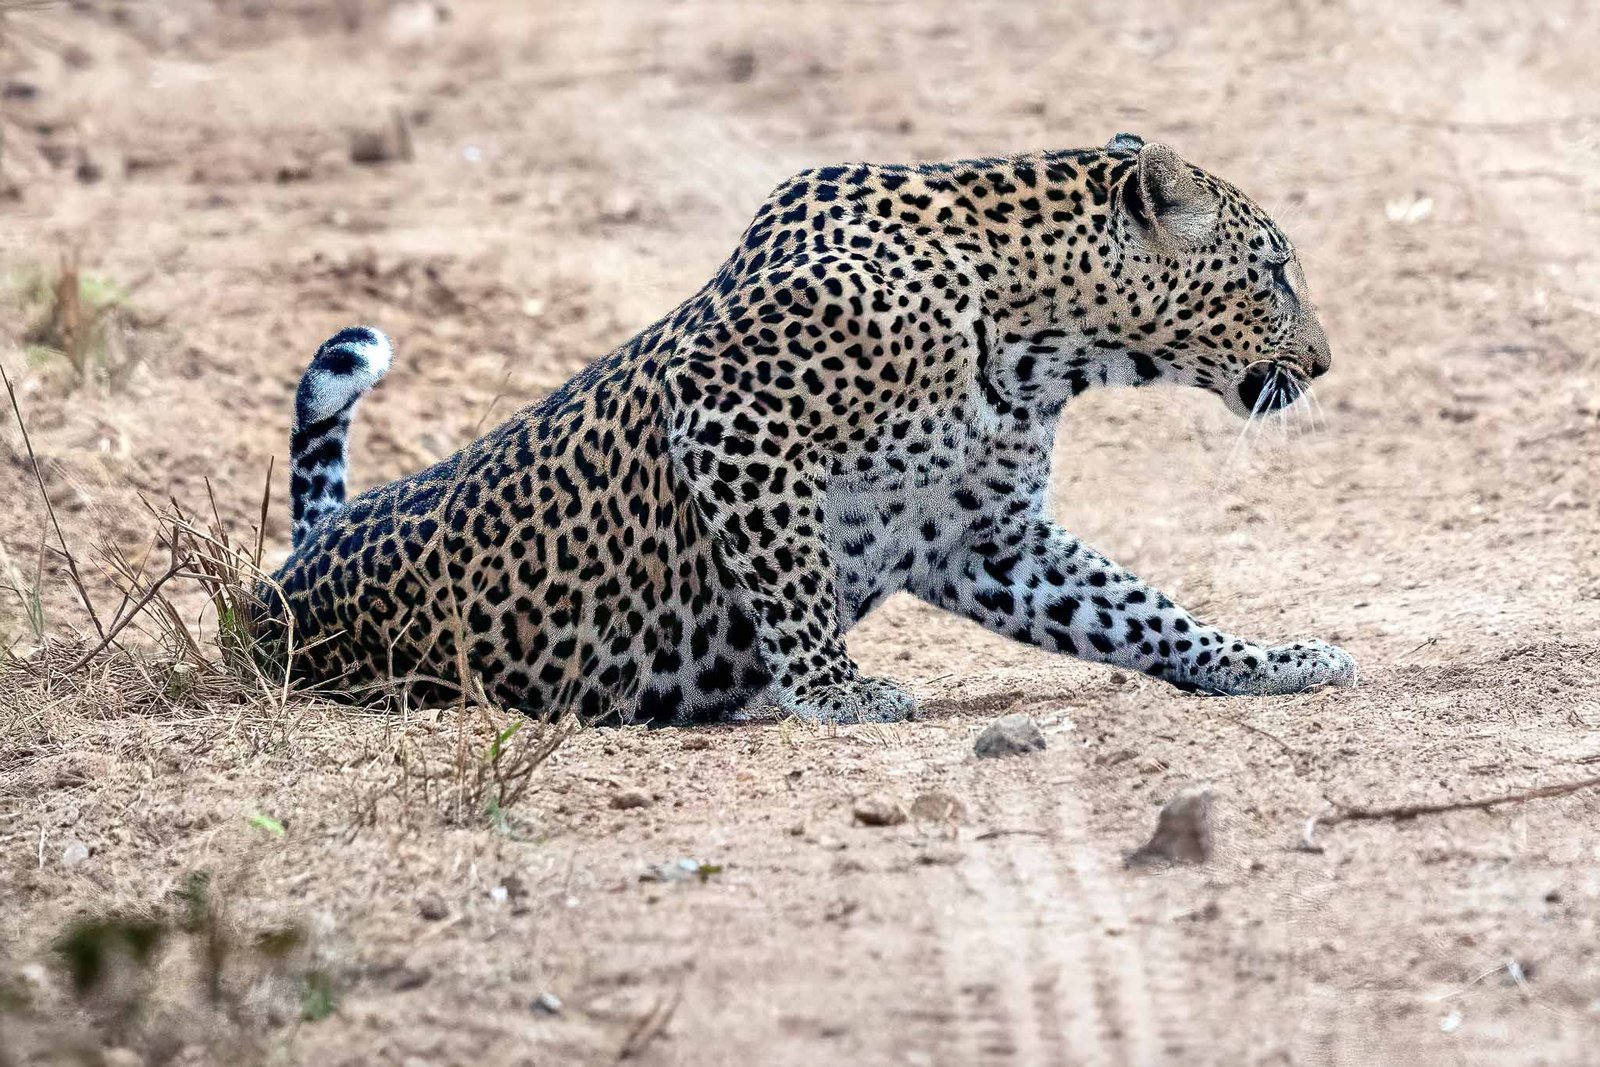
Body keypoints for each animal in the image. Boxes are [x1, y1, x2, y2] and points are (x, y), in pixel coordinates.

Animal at [258, 133, 1357, 725]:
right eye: (1274, 274)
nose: (1323, 362)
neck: (1042, 342)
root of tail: (291, 565)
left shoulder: (985, 539)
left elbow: (1141, 608)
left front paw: (1266, 661)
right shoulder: (731, 417)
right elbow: (791, 579)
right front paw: (833, 691)